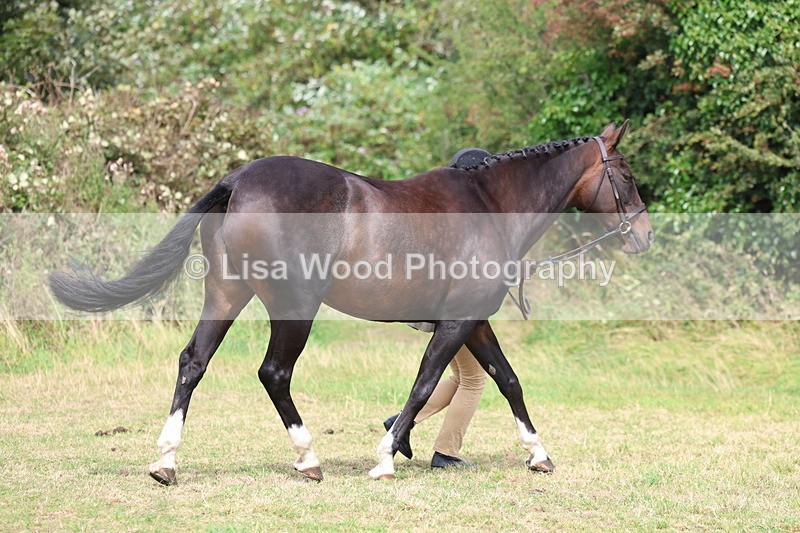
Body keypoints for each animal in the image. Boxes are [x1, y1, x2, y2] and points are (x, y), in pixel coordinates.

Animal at [49, 120, 653, 484]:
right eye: (624, 174)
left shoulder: (474, 321)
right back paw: (308, 459)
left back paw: (166, 462)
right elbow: (426, 383)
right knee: (274, 373)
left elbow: (507, 381)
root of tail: (238, 182)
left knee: (192, 363)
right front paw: (386, 458)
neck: (489, 205)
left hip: (226, 293)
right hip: (294, 307)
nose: (643, 236)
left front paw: (538, 453)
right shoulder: (457, 323)